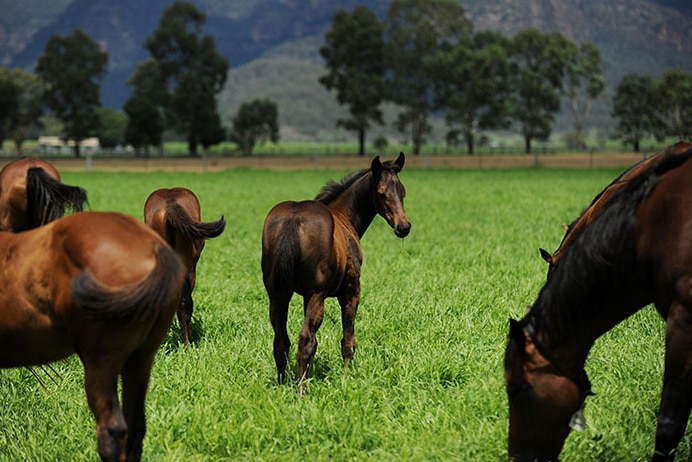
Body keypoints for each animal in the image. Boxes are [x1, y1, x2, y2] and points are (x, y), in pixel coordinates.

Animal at [260, 153, 410, 384]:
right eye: (382, 194)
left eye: (402, 192)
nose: (403, 227)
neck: (344, 217)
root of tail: (293, 220)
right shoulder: (350, 292)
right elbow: (348, 339)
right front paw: (347, 376)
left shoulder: (303, 295)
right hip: (316, 295)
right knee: (306, 339)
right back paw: (301, 389)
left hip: (277, 294)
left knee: (281, 341)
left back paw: (282, 383)